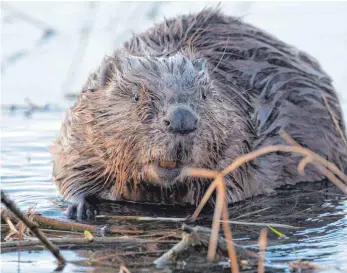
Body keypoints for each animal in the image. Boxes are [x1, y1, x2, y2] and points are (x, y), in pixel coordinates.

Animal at [51, 6, 347, 219]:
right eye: (137, 96)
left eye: (204, 96)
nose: (182, 120)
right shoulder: (80, 131)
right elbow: (69, 171)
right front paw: (80, 207)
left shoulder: (241, 137)